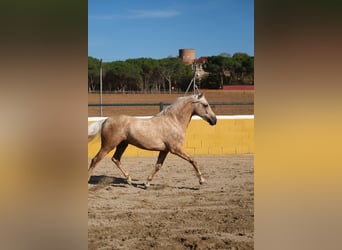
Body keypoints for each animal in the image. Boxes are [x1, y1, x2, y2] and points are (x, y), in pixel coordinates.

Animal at [88, 93, 216, 187]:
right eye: (205, 105)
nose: (214, 120)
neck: (173, 121)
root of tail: (106, 120)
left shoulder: (165, 150)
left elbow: (158, 166)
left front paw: (147, 183)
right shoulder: (176, 149)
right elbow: (193, 160)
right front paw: (201, 180)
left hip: (122, 144)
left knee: (116, 159)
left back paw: (129, 179)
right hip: (109, 145)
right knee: (95, 159)